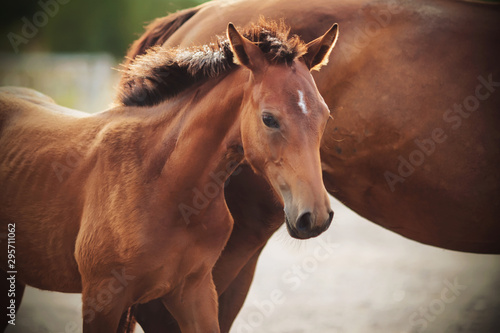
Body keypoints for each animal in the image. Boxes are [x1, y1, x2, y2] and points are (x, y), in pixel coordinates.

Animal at [0, 21, 336, 332]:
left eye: (326, 116)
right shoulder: (102, 298)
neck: (165, 186)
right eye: (268, 118)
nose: (315, 216)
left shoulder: (194, 291)